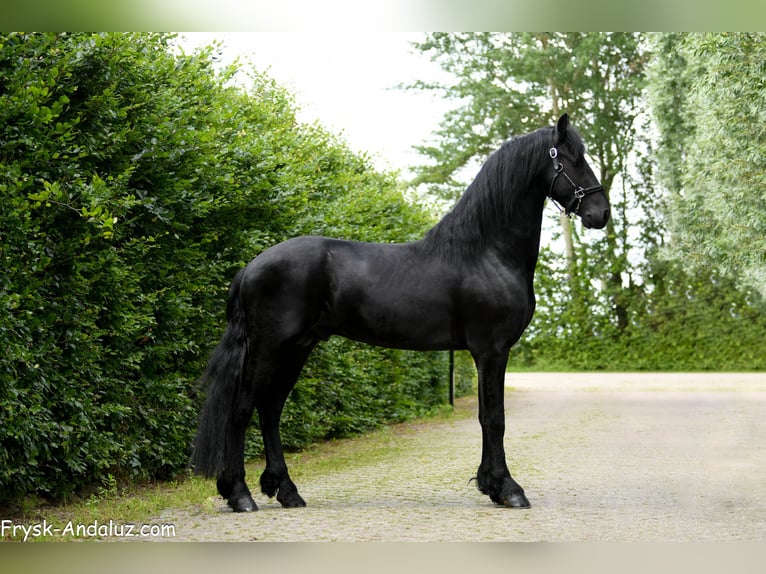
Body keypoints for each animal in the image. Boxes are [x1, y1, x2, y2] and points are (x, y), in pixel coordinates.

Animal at [191, 114, 610, 512]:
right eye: (570, 159)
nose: (601, 213)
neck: (485, 252)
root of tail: (251, 266)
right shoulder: (492, 350)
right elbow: (494, 418)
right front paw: (507, 489)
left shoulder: (486, 352)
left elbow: (486, 417)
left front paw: (490, 485)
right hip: (270, 348)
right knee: (242, 410)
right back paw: (240, 494)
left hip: (296, 348)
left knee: (270, 409)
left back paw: (286, 491)